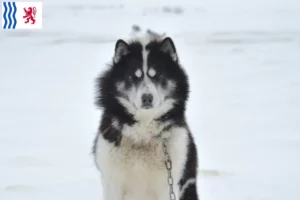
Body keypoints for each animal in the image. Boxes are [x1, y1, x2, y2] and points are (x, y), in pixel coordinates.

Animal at [92, 32, 198, 200]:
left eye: (157, 75)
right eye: (134, 76)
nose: (147, 98)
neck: (143, 136)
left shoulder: (168, 184)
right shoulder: (112, 183)